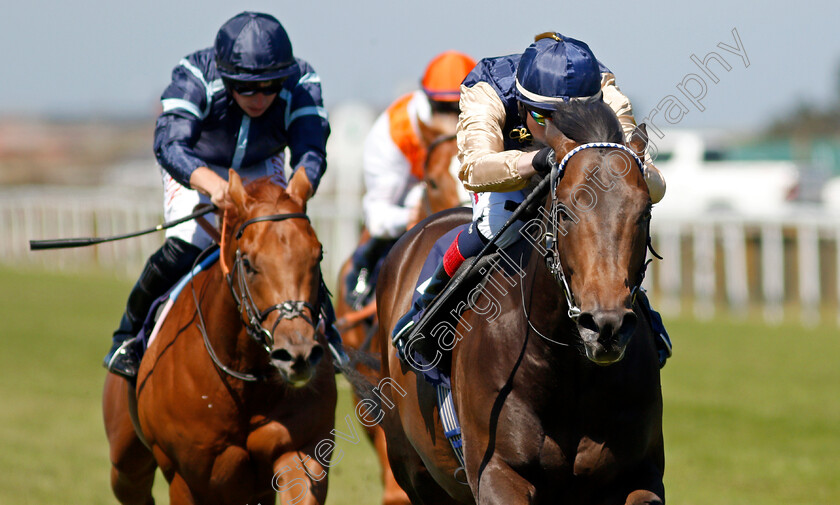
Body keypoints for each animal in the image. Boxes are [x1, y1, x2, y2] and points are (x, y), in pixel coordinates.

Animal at [105, 170, 338, 504]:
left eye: (318, 255)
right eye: (249, 263)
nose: (299, 354)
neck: (242, 379)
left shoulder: (300, 451)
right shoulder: (188, 477)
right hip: (126, 458)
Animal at [378, 100, 668, 502]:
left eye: (645, 212)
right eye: (563, 212)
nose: (605, 325)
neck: (568, 370)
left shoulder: (641, 473)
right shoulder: (498, 473)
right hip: (411, 468)